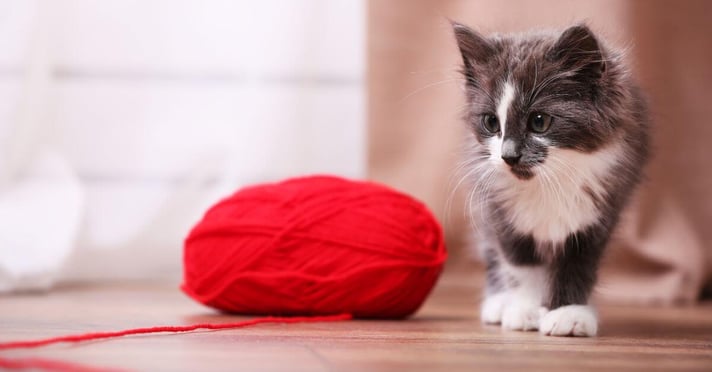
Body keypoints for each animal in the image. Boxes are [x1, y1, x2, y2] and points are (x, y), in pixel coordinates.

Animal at [456, 23, 652, 338]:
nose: (508, 155)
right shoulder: (502, 212)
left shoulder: (599, 211)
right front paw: (526, 309)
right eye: (491, 122)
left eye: (539, 121)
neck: (548, 183)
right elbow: (520, 264)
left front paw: (568, 314)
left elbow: (576, 264)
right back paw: (499, 302)